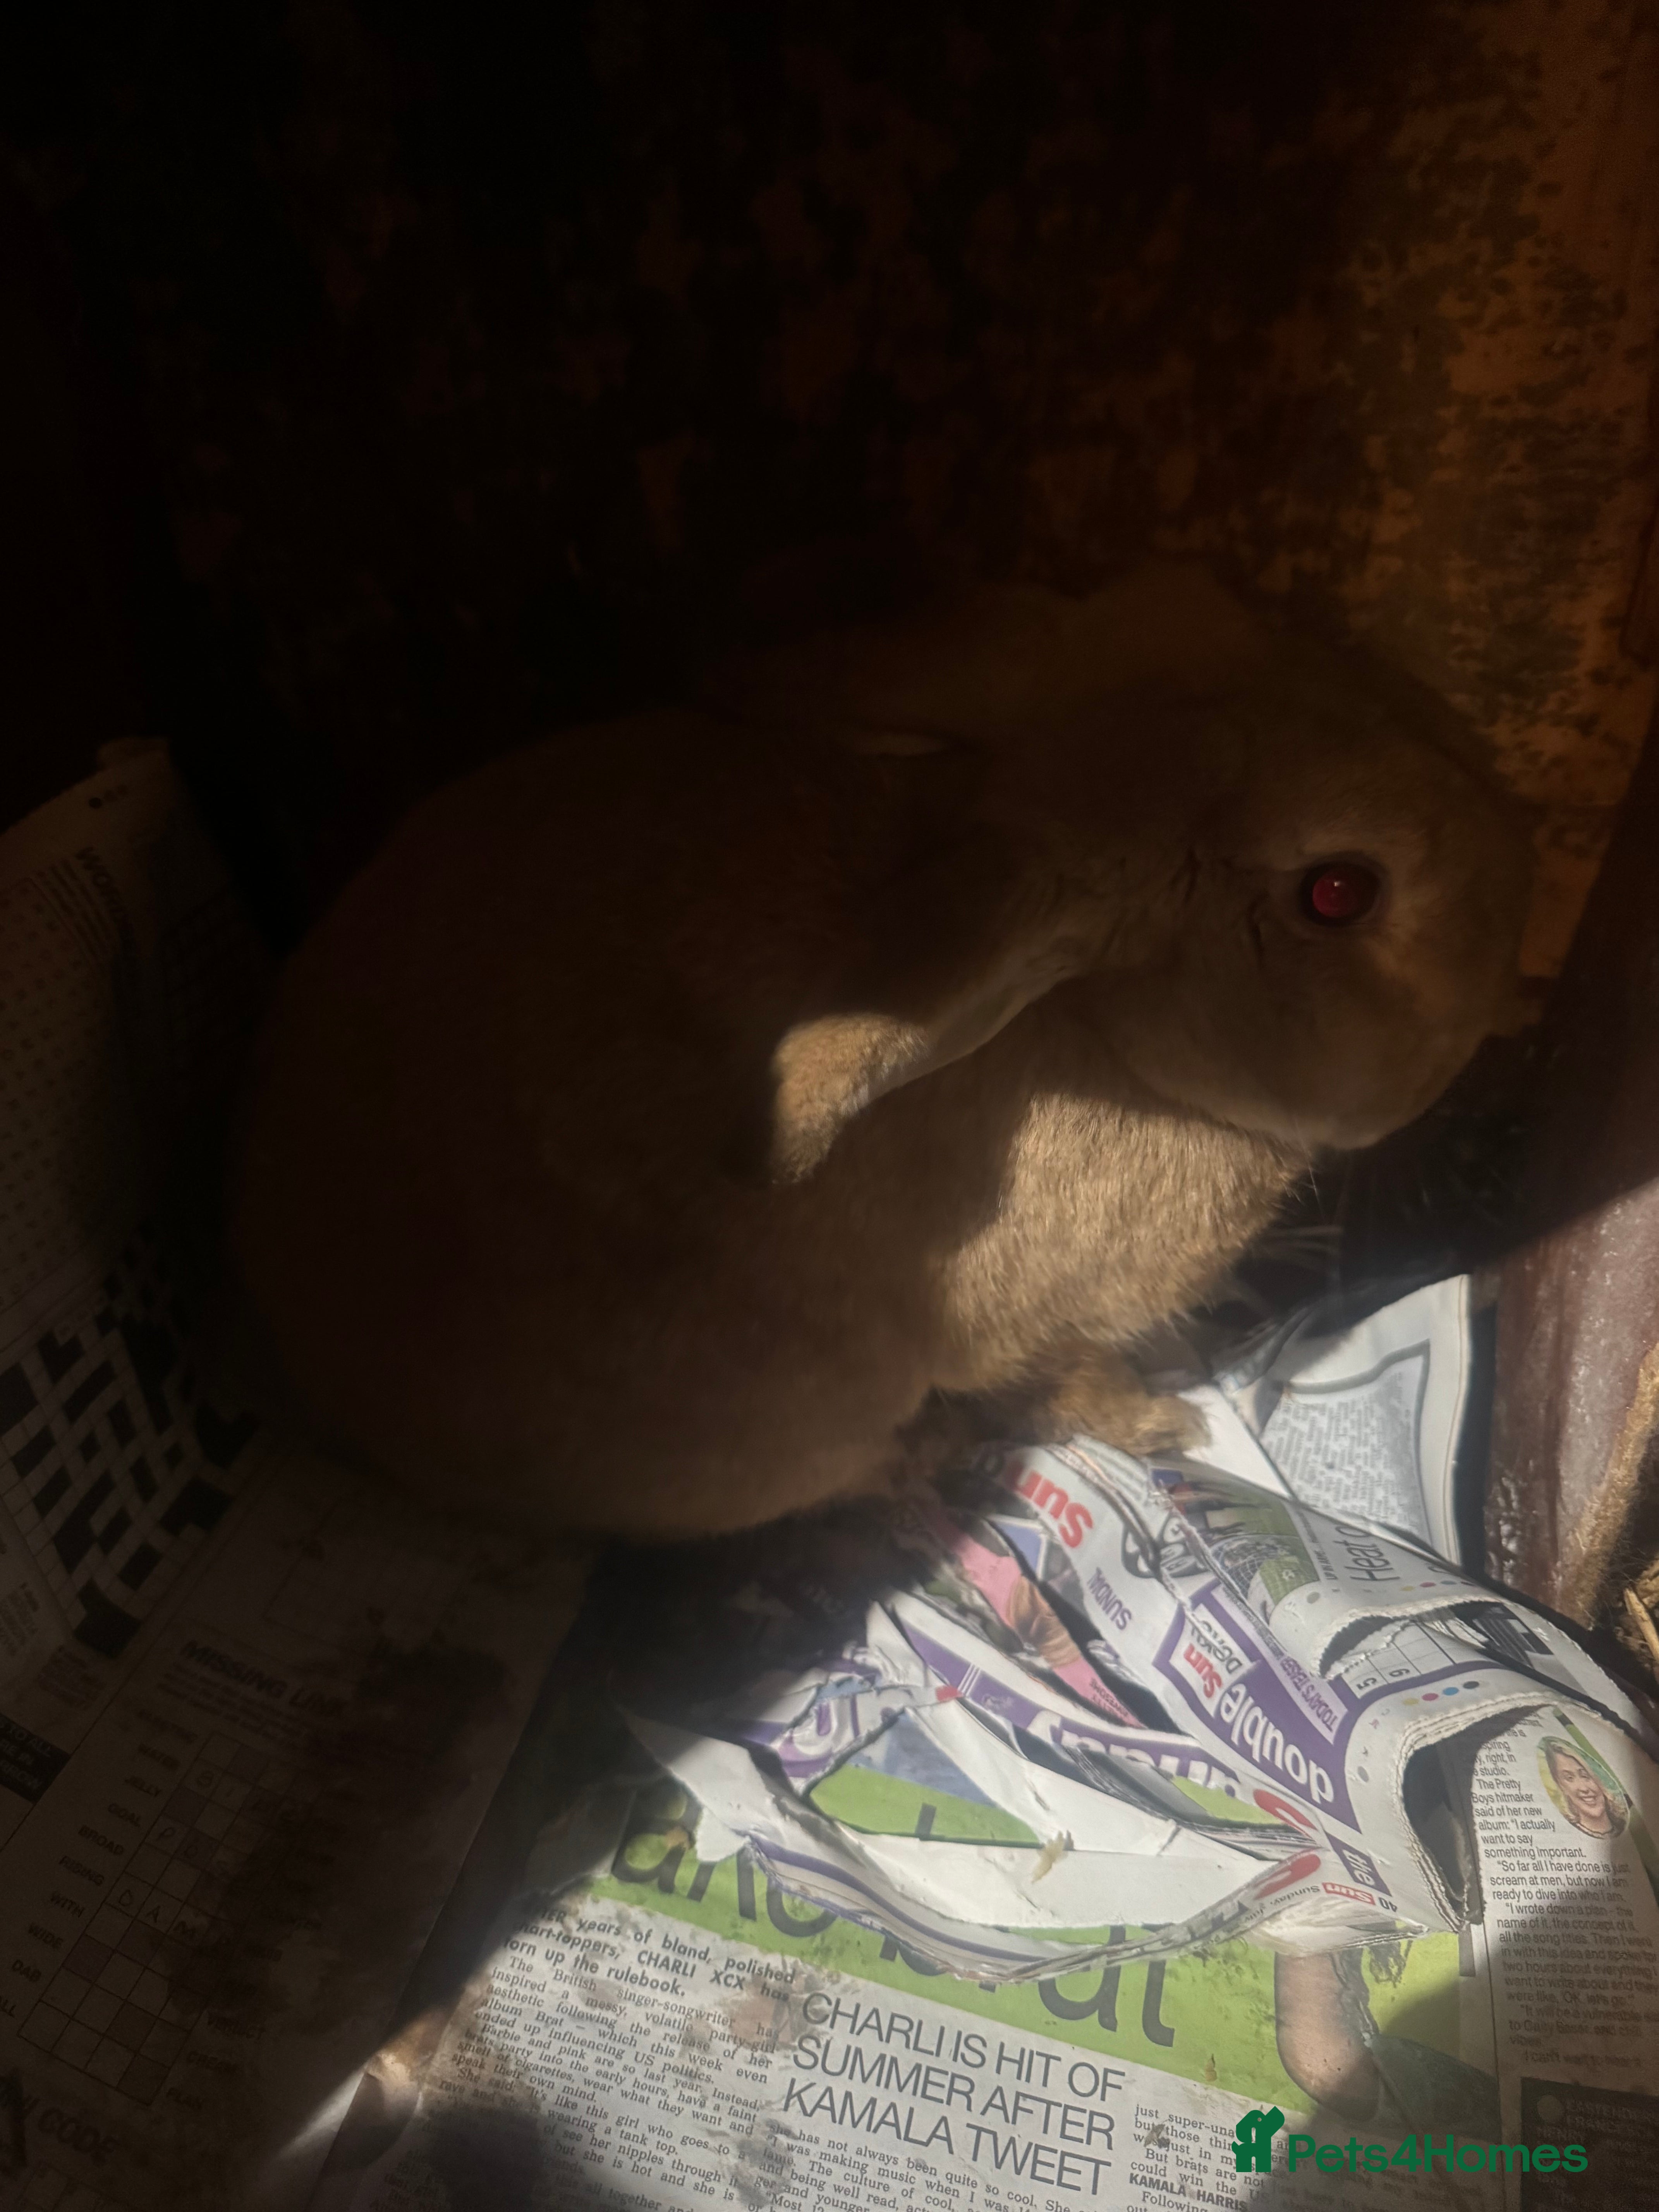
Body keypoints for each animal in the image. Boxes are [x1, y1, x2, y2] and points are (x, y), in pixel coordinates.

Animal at [227, 562, 1530, 1541]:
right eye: (1339, 892)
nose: (1509, 980)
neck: (1099, 1030)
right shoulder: (1029, 1328)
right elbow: (1064, 1376)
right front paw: (1166, 1425)